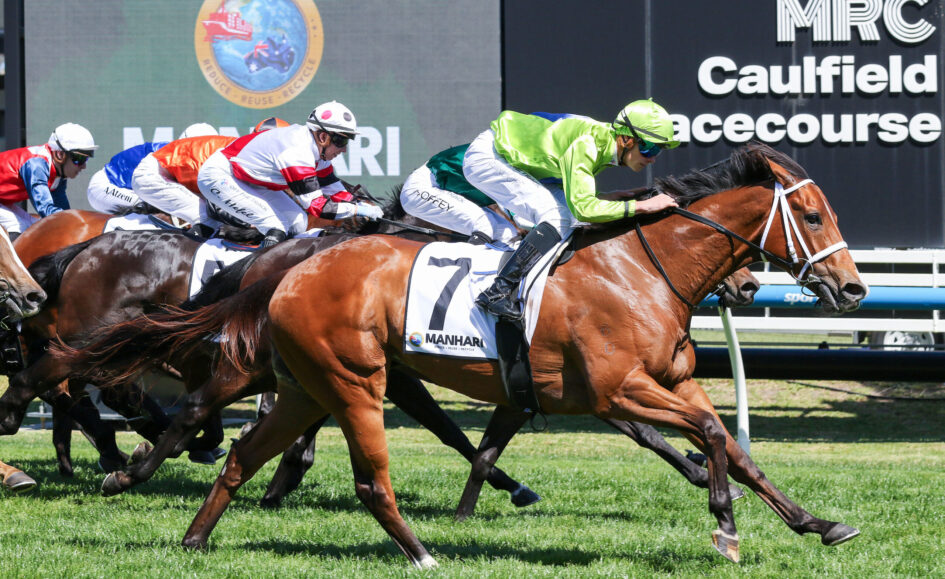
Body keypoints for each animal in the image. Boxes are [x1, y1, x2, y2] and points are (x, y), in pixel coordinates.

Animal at [158, 142, 866, 566]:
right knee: (354, 471)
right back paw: (419, 553)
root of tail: (294, 265)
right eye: (810, 215)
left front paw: (817, 523)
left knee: (246, 453)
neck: (640, 268)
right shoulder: (617, 388)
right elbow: (710, 438)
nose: (853, 288)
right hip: (353, 379)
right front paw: (724, 525)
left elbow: (733, 447)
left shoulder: (669, 381)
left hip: (309, 384)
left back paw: (196, 536)